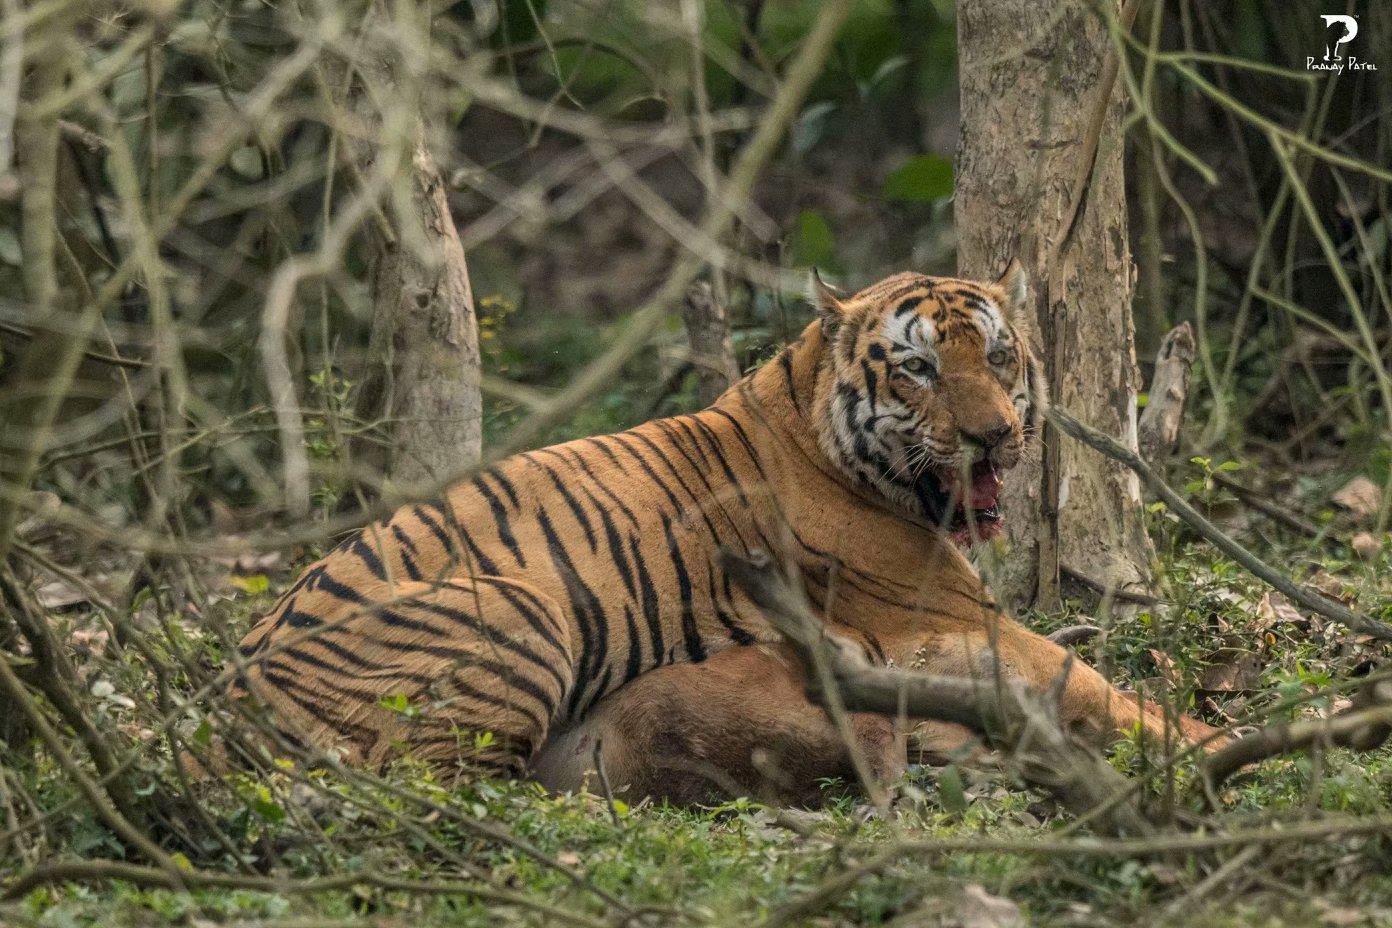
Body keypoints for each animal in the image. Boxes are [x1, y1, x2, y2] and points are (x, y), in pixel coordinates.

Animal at [233, 262, 1224, 784]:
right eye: (918, 370)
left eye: (1001, 356)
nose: (995, 435)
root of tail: (230, 686)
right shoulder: (953, 620)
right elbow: (1092, 682)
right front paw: (1219, 744)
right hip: (521, 609)